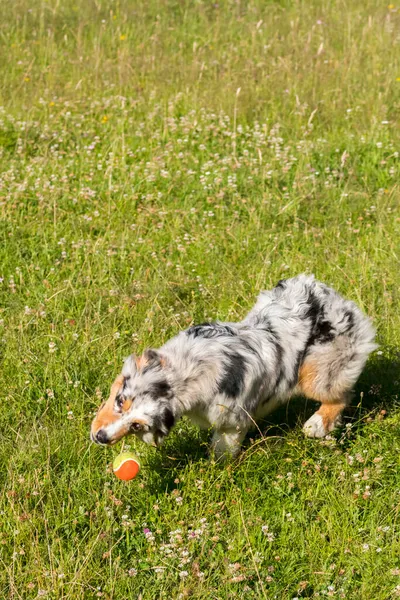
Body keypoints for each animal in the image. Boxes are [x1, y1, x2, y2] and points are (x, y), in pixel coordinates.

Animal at [90, 274, 376, 458]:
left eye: (137, 425)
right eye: (120, 401)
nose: (100, 437)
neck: (186, 375)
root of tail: (328, 294)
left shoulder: (232, 421)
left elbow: (222, 451)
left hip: (317, 372)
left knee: (342, 394)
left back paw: (317, 424)